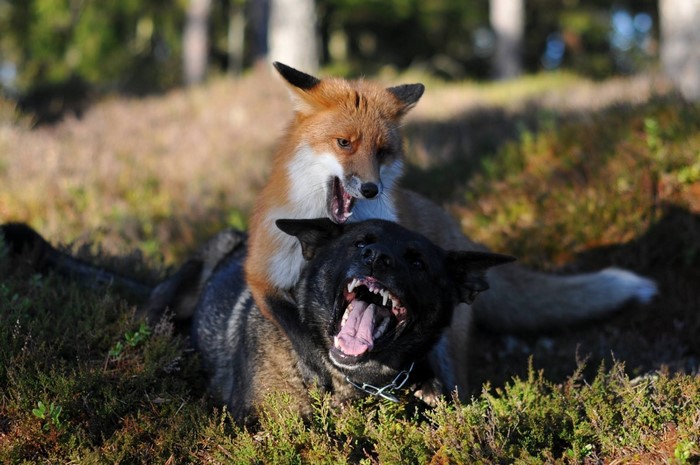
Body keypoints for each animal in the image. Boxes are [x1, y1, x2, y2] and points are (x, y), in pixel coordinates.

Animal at [245, 62, 657, 395]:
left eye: (382, 152)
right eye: (344, 143)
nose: (372, 188)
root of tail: (453, 228)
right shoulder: (263, 273)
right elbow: (299, 331)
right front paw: (321, 371)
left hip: (450, 344)